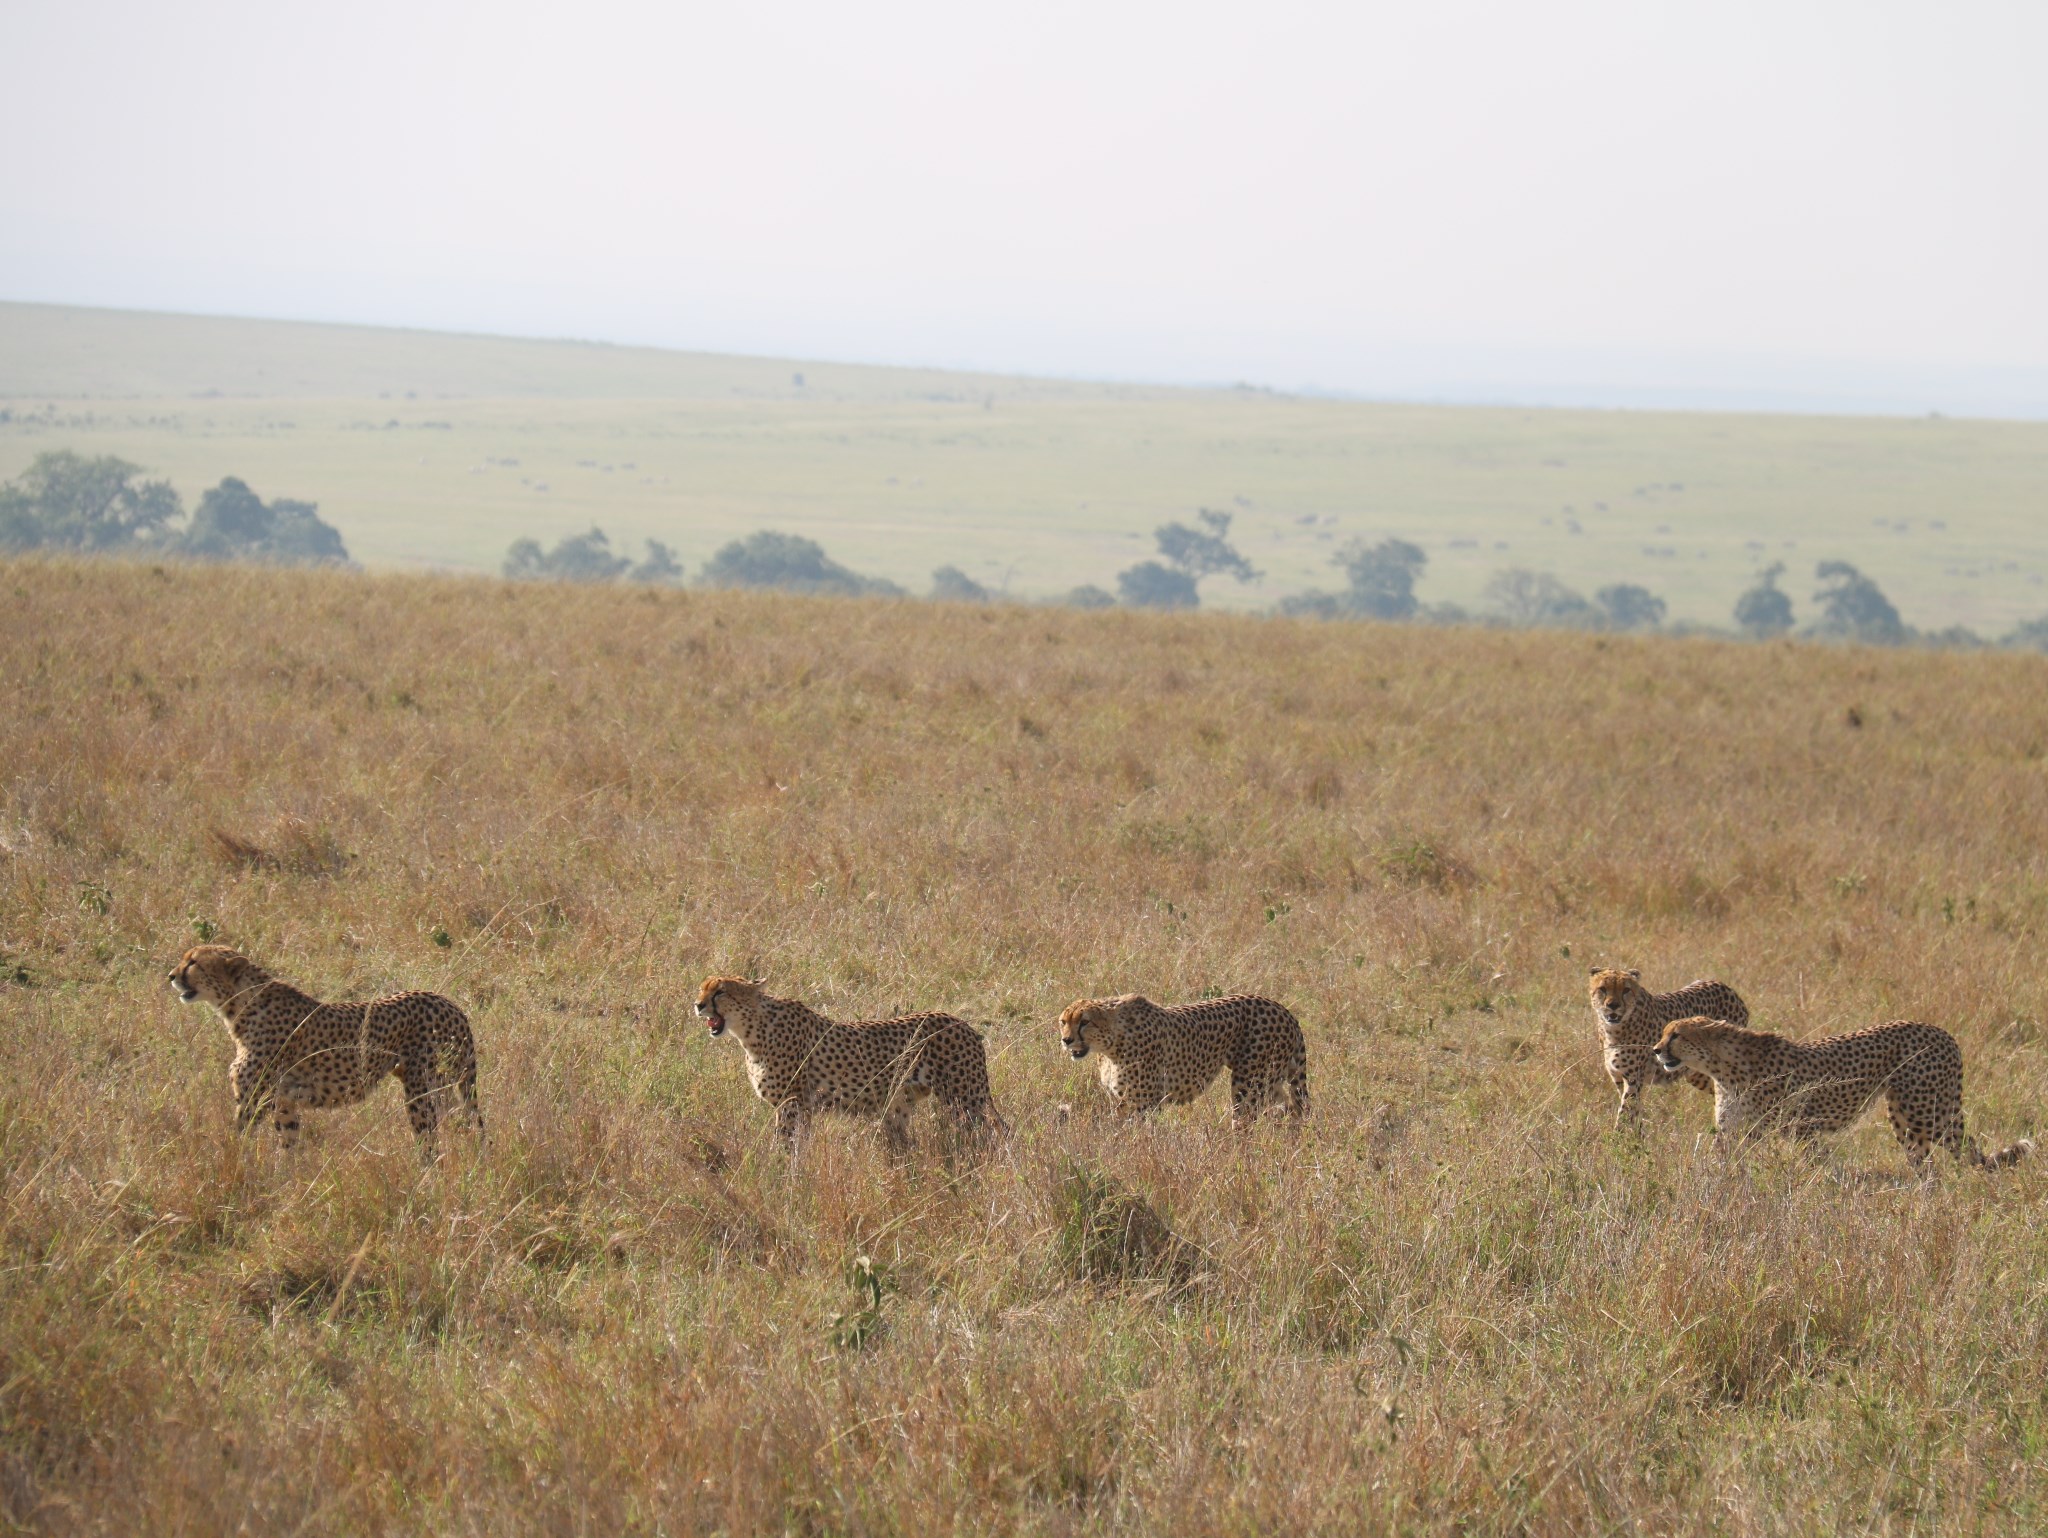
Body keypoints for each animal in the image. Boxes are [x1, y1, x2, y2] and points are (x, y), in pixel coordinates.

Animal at [169, 946, 481, 1163]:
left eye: (193, 962)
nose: (171, 976)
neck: (241, 1003)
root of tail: (450, 1003)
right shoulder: (283, 1102)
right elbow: (288, 1143)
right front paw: (287, 1180)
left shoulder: (253, 1100)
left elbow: (239, 1138)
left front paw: (233, 1166)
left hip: (423, 1088)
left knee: (431, 1139)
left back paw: (425, 1177)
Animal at [696, 974, 999, 1155]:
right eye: (702, 989)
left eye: (720, 992)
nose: (698, 1005)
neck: (751, 1030)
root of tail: (962, 1023)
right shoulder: (801, 1106)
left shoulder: (793, 1103)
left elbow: (787, 1145)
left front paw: (781, 1176)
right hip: (901, 1106)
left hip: (967, 1099)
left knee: (996, 1132)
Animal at [1064, 991, 1302, 1122]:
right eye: (1063, 1022)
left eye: (1084, 1022)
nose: (1066, 1040)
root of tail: (1282, 1009)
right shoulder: (1122, 1101)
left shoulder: (1146, 1104)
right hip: (1269, 1081)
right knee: (1290, 1109)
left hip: (1249, 1085)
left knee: (1247, 1121)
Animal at [1581, 974, 1744, 1130]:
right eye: (1603, 989)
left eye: (1625, 990)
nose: (1613, 1005)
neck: (1612, 1030)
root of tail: (1726, 987)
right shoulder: (1619, 1079)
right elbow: (1634, 1113)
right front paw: (1637, 1136)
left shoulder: (1633, 1080)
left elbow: (1625, 1114)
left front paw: (1618, 1137)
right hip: (1697, 1074)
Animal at [1646, 1015, 2031, 1171]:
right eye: (1664, 1033)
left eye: (1675, 1034)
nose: (1655, 1050)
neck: (1723, 1065)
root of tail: (1942, 1032)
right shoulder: (1734, 1131)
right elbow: (1722, 1163)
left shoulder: (1801, 1127)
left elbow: (1814, 1161)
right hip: (1910, 1115)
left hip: (1921, 1113)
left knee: (1944, 1156)